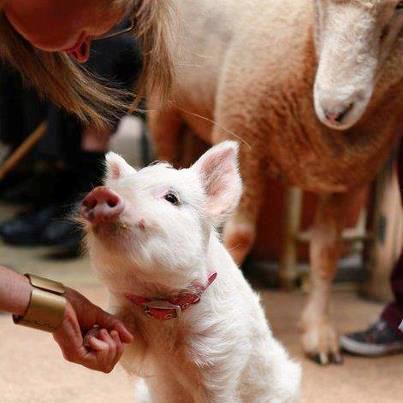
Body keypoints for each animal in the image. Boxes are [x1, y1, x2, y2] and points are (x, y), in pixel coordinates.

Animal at [149, 0, 403, 366]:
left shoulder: (345, 175)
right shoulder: (246, 141)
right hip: (166, 103)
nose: (334, 108)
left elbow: (327, 251)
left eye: (398, 8)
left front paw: (318, 332)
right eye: (321, 6)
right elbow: (239, 237)